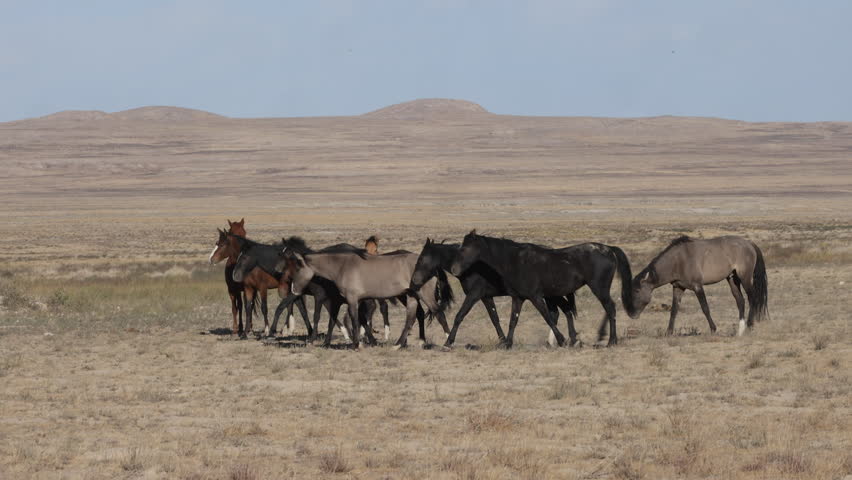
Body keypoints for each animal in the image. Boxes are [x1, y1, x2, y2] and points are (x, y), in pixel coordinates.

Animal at [275, 248, 453, 349]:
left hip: (424, 294)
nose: (293, 289)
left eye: (297, 268)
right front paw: (362, 341)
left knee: (439, 313)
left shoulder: (352, 299)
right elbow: (358, 320)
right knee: (411, 318)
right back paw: (398, 345)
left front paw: (356, 344)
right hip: (411, 296)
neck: (342, 266)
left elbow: (354, 319)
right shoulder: (356, 300)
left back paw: (447, 343)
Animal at [409, 238, 579, 349]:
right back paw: (563, 340)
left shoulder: (474, 295)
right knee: (562, 311)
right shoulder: (486, 297)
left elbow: (460, 315)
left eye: (422, 258)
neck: (471, 267)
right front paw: (503, 340)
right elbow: (494, 318)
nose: (414, 281)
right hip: (550, 295)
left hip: (550, 295)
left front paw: (448, 342)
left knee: (560, 311)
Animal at [450, 231, 637, 348]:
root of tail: (609, 249)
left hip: (599, 288)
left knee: (610, 308)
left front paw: (561, 340)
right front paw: (507, 344)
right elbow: (513, 320)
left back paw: (611, 341)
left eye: (466, 248)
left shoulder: (535, 297)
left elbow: (547, 317)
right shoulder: (518, 298)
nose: (454, 270)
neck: (515, 261)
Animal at [630, 235, 769, 336]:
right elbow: (674, 310)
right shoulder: (678, 288)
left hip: (744, 278)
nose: (632, 314)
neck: (678, 260)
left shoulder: (697, 287)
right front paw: (668, 332)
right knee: (740, 301)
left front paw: (713, 329)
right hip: (732, 278)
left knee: (752, 298)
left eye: (636, 290)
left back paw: (750, 325)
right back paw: (740, 330)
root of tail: (749, 243)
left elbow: (705, 308)